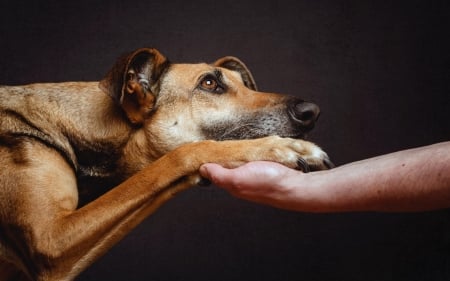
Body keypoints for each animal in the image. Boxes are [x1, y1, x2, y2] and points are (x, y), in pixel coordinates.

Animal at [0, 47, 330, 278]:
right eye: (209, 83)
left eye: (245, 85)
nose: (311, 111)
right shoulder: (50, 241)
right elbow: (181, 154)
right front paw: (280, 147)